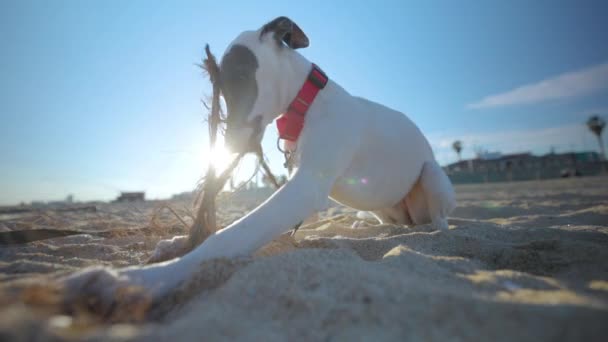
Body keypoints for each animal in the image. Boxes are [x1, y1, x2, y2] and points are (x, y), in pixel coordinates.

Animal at [66, 16, 456, 300]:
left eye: (240, 74)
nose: (227, 145)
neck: (309, 102)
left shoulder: (304, 189)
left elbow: (230, 236)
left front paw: (138, 280)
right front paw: (176, 244)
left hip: (433, 177)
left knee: (438, 217)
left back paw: (435, 228)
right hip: (385, 210)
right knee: (385, 220)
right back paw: (366, 226)